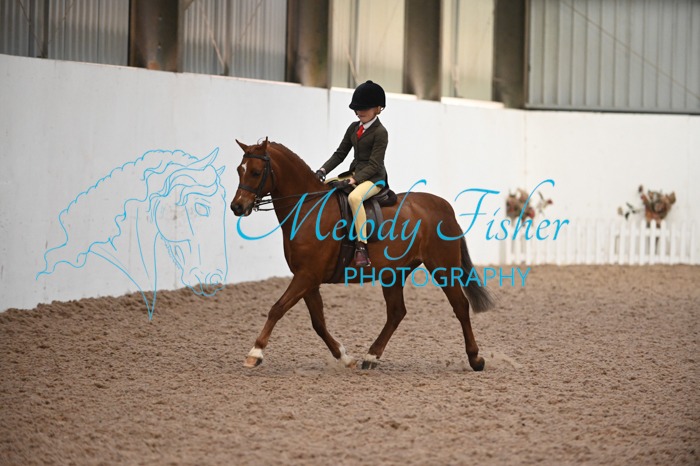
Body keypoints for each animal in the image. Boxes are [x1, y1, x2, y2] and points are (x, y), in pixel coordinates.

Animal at [230, 138, 494, 370]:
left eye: (255, 172)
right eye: (239, 170)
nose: (237, 207)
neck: (308, 209)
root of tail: (444, 207)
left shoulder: (306, 276)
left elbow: (277, 308)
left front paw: (255, 353)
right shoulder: (308, 279)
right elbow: (318, 322)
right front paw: (345, 358)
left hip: (443, 267)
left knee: (460, 306)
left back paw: (475, 359)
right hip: (393, 273)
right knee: (396, 312)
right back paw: (371, 356)